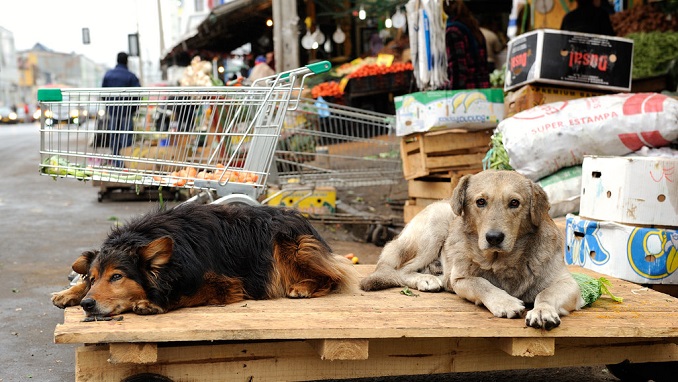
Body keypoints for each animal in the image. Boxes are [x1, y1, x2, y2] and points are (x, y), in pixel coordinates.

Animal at [52, 203, 358, 316]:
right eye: (94, 278)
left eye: (117, 277)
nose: (87, 305)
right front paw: (70, 292)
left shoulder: (226, 284)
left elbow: (188, 294)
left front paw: (153, 303)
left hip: (291, 245)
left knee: (333, 277)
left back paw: (303, 287)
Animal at [362, 172, 584, 330]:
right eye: (481, 202)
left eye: (514, 203)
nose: (494, 237)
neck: (502, 261)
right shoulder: (462, 279)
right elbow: (482, 284)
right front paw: (504, 302)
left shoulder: (568, 283)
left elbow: (545, 293)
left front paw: (542, 311)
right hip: (435, 227)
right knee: (401, 270)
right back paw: (426, 280)